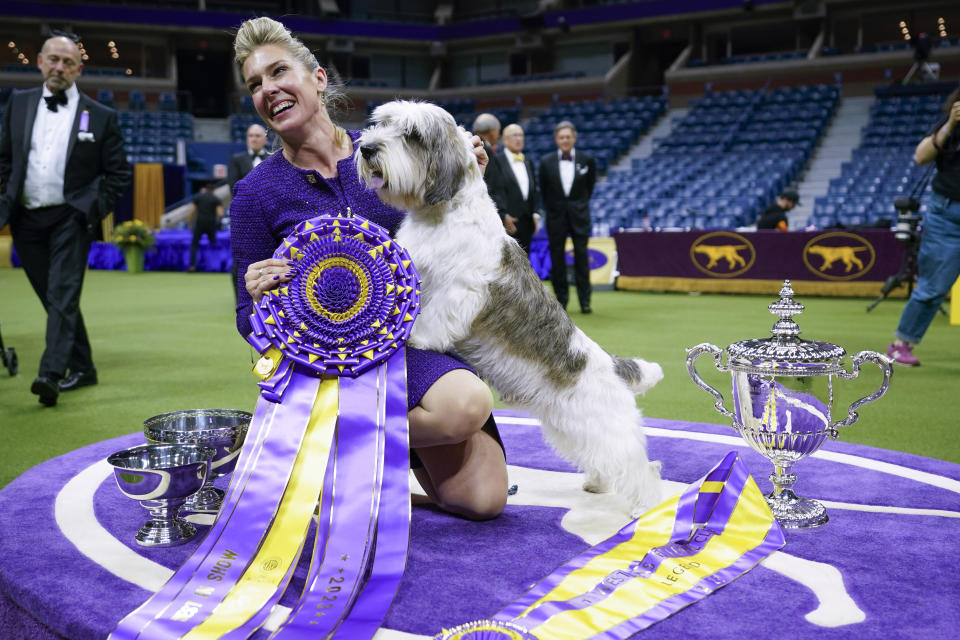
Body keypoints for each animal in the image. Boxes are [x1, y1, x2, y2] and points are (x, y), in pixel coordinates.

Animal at [356, 100, 664, 516]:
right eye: (381, 123)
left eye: (412, 135)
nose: (367, 148)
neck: (441, 216)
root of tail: (612, 365)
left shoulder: (459, 290)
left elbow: (435, 317)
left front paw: (415, 337)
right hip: (568, 426)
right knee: (602, 460)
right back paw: (597, 484)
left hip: (605, 426)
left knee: (641, 467)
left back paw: (646, 509)